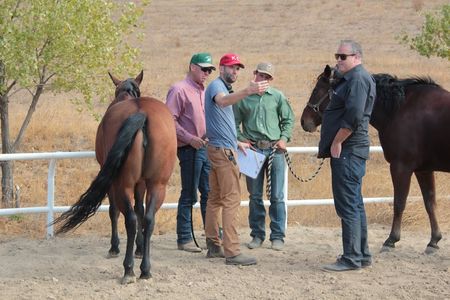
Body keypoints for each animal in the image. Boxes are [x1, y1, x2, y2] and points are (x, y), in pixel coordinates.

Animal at [51, 71, 177, 284]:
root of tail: (141, 114)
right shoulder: (141, 183)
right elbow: (140, 209)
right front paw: (139, 249)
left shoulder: (112, 181)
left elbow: (114, 211)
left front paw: (114, 247)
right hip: (157, 185)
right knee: (148, 219)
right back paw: (145, 269)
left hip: (121, 185)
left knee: (130, 219)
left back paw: (128, 269)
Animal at [300, 65, 450, 253]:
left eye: (317, 89)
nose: (304, 121)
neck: (401, 108)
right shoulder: (423, 170)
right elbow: (430, 202)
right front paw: (434, 241)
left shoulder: (401, 167)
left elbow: (399, 202)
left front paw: (391, 240)